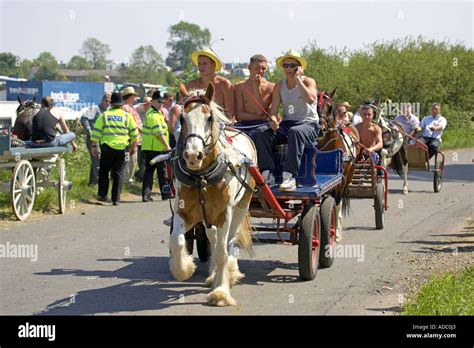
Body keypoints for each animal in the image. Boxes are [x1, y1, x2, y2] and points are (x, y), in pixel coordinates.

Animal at [167, 83, 256, 306]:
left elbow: (223, 252)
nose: (192, 155)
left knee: (229, 241)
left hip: (241, 207)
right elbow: (177, 241)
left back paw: (229, 272)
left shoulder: (224, 214)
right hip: (207, 218)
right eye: (182, 118)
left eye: (208, 118)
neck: (202, 178)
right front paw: (183, 269)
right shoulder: (184, 212)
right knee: (213, 239)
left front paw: (221, 292)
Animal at [318, 89, 360, 242]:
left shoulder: (341, 180)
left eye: (330, 106)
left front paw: (334, 231)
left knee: (339, 201)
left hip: (348, 177)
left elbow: (336, 204)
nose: (321, 128)